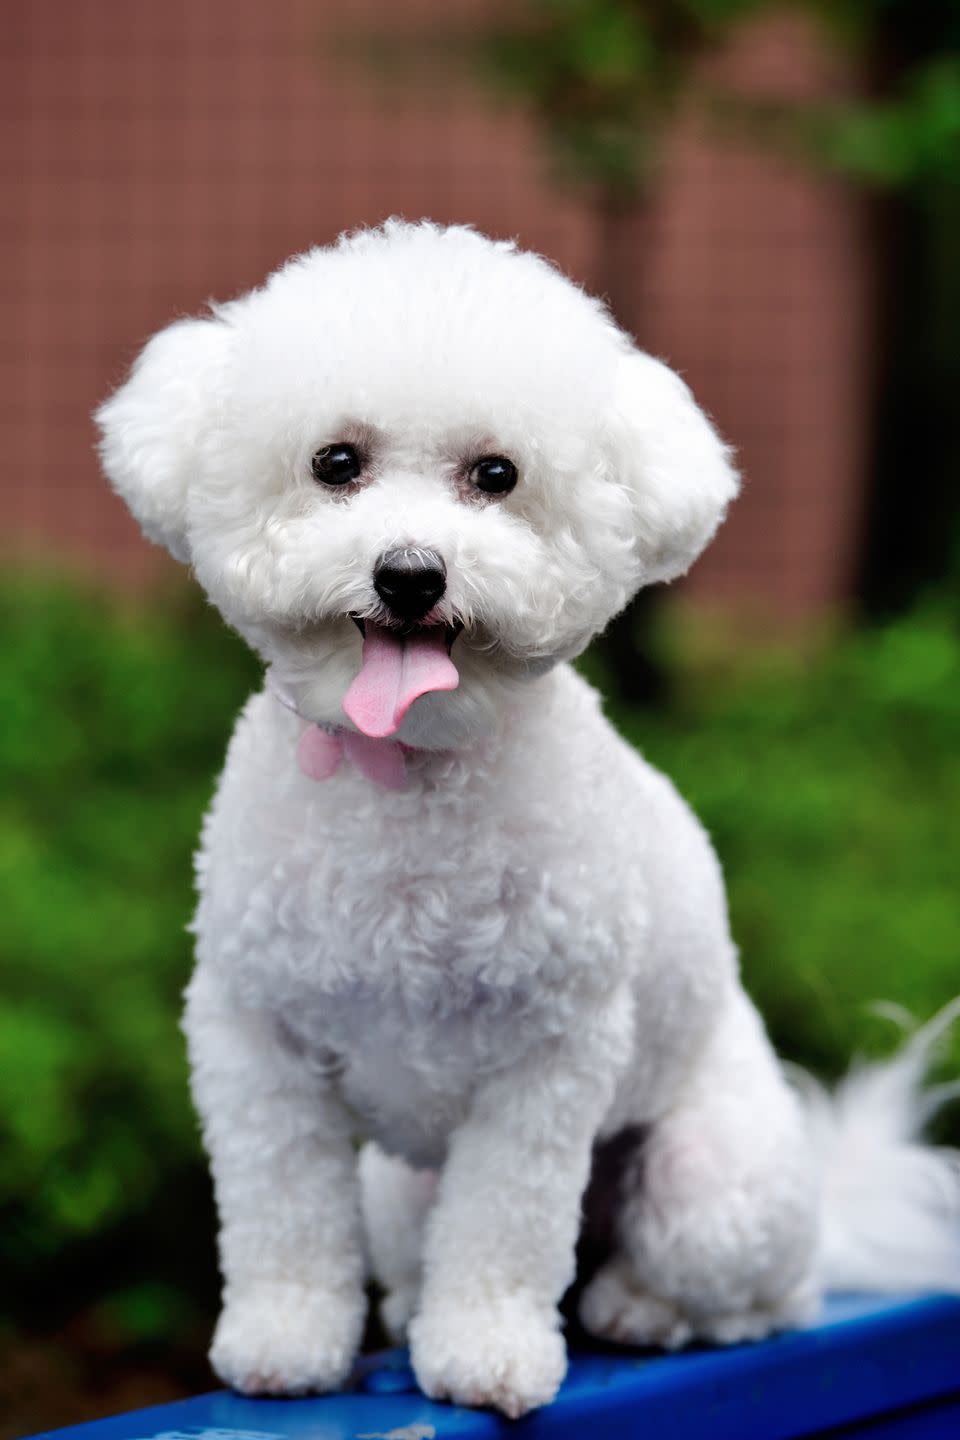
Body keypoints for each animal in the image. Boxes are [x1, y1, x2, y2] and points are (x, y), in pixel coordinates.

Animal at [93, 221, 955, 1416]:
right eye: (336, 462)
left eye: (496, 476)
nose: (410, 574)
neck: (408, 770)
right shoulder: (253, 1039)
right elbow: (281, 1214)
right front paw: (285, 1341)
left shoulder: (546, 1062)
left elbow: (505, 1227)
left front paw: (488, 1353)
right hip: (396, 1194)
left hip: (710, 1184)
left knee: (759, 1295)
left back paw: (643, 1308)